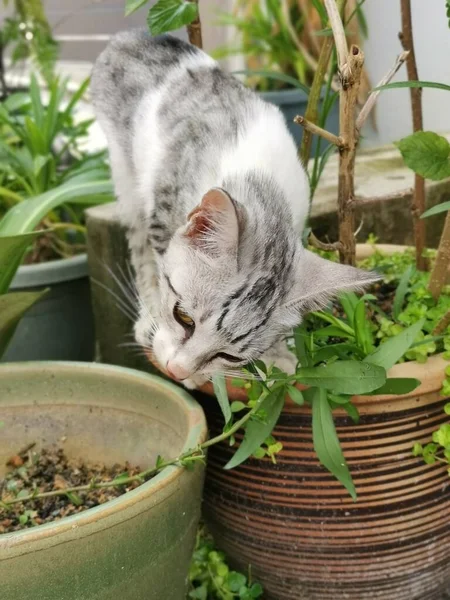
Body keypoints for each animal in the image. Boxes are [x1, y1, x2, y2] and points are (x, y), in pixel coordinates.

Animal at [91, 31, 376, 390]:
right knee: (139, 243)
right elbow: (156, 266)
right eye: (183, 317)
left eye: (228, 355)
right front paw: (157, 322)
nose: (177, 371)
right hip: (126, 172)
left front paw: (279, 354)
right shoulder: (162, 212)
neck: (261, 183)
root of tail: (138, 36)